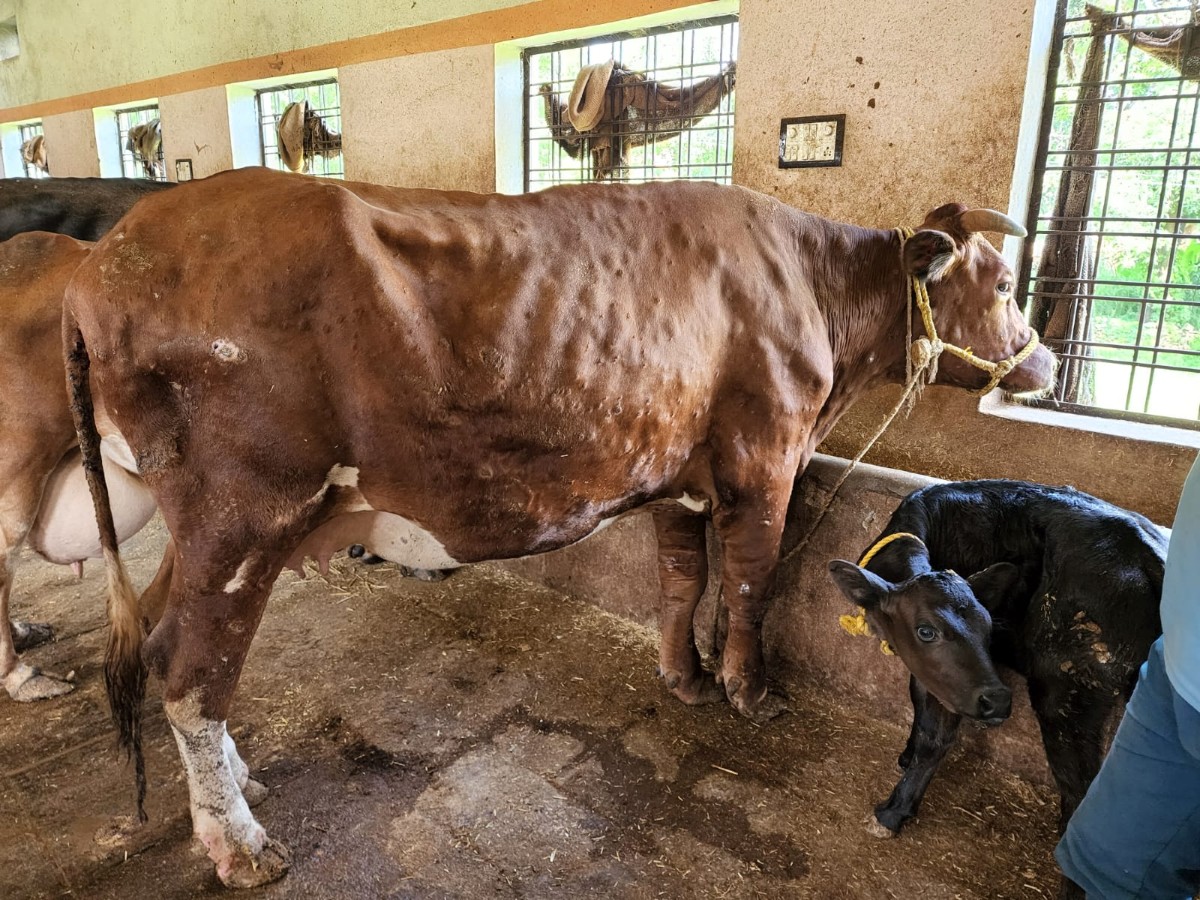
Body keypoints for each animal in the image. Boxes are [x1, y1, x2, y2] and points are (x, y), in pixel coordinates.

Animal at [65, 169, 1056, 888]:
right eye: (1006, 280)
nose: (1043, 359)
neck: (810, 289)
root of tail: (109, 255)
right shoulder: (767, 460)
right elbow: (750, 583)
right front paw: (750, 692)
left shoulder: (679, 475)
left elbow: (681, 581)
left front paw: (684, 679)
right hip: (244, 516)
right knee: (190, 670)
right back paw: (240, 843)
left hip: (200, 534)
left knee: (161, 634)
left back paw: (240, 782)